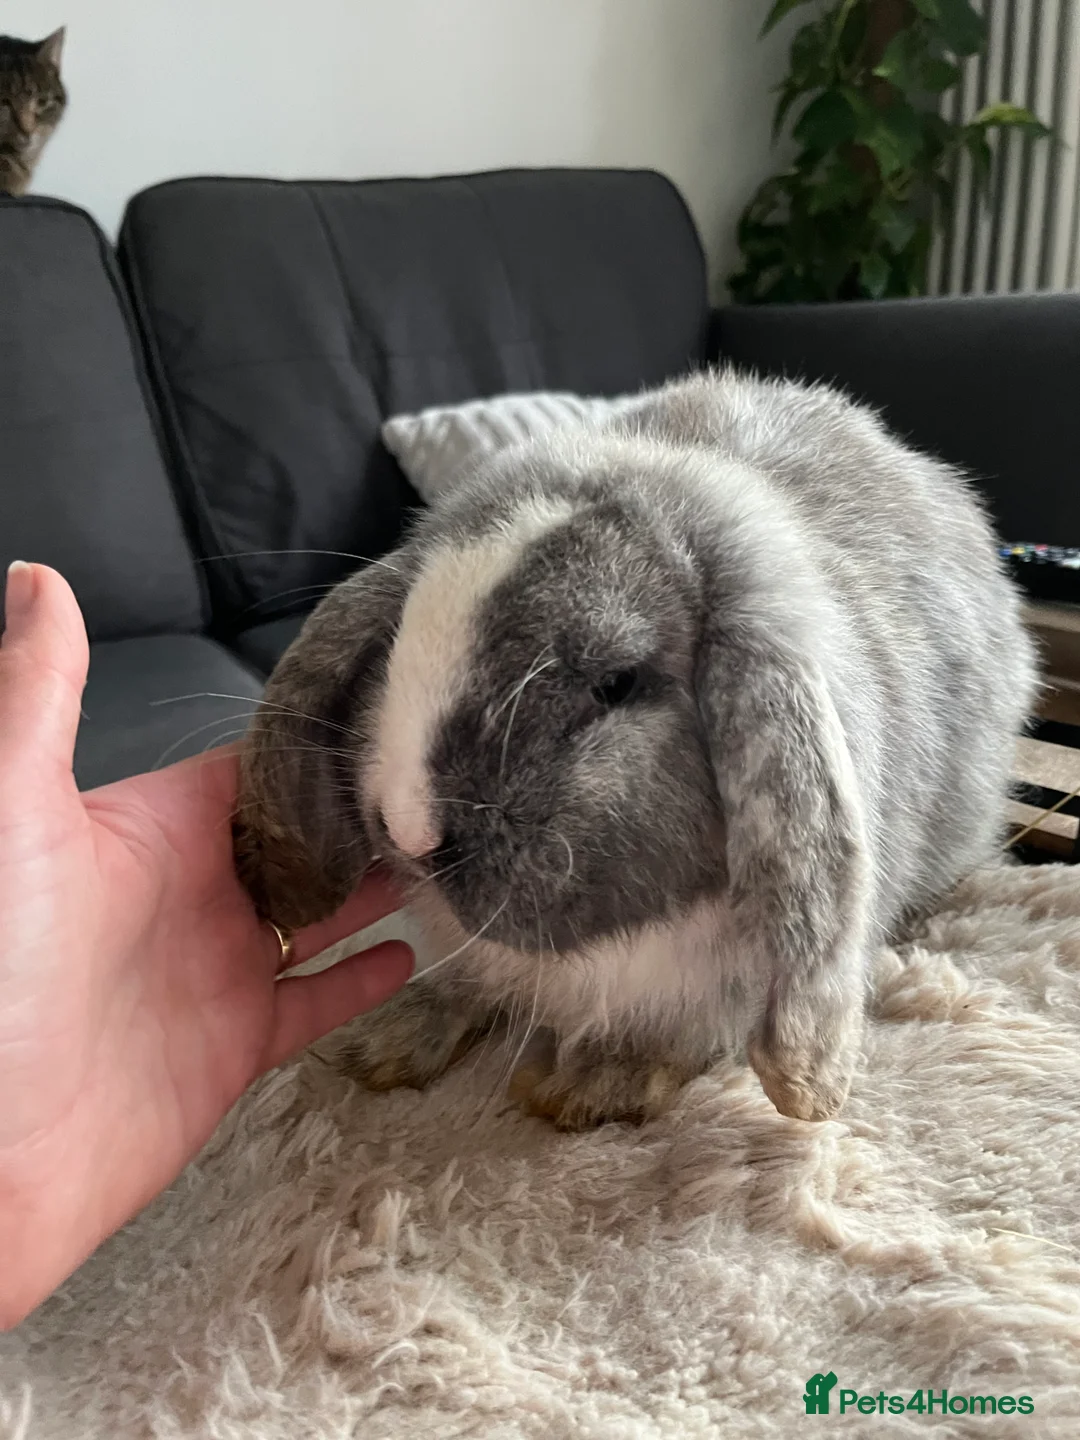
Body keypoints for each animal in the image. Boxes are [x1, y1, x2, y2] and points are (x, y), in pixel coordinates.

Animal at [234, 368, 1036, 1130]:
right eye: (400, 641)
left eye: (615, 683)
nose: (408, 828)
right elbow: (461, 988)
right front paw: (380, 1045)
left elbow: (669, 1041)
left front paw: (590, 1088)